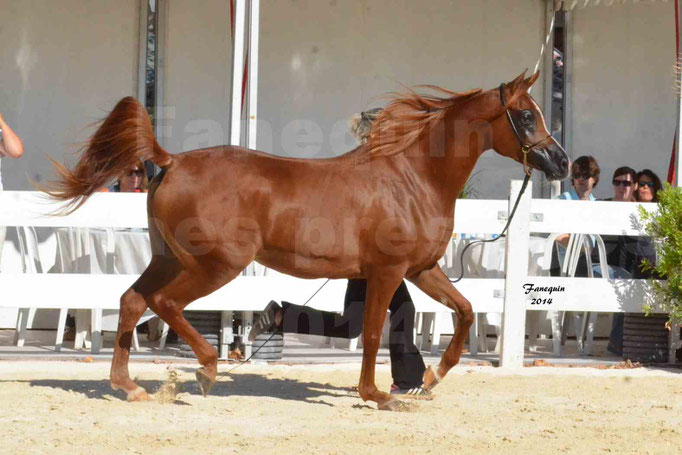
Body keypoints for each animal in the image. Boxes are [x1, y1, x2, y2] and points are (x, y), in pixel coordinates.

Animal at [47, 69, 564, 412]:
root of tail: (171, 160)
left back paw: (131, 387)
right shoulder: (388, 272)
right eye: (524, 115)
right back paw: (207, 369)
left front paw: (431, 378)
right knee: (164, 303)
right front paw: (378, 396)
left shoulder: (420, 270)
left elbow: (465, 310)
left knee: (132, 300)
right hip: (215, 264)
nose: (559, 162)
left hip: (168, 258)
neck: (412, 177)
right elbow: (373, 332)